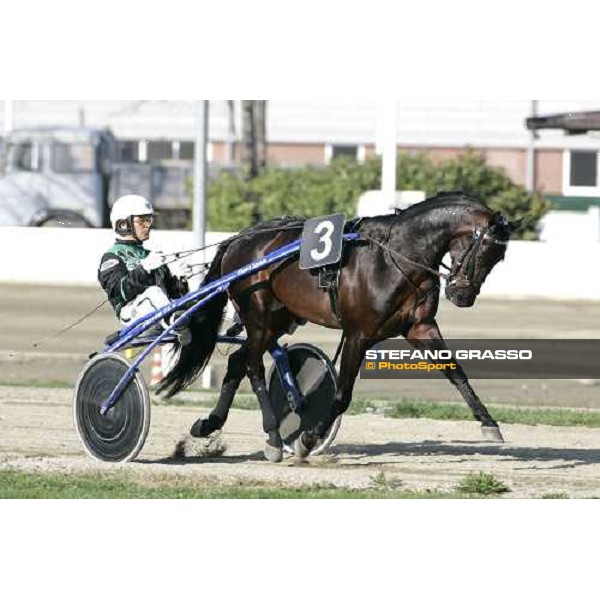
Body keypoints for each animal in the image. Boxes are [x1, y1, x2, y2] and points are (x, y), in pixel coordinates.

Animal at [158, 195, 516, 462]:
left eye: (498, 258)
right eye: (484, 250)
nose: (463, 295)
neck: (395, 256)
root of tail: (240, 239)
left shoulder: (420, 328)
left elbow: (456, 373)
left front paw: (488, 422)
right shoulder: (359, 334)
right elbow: (342, 395)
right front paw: (307, 440)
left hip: (279, 319)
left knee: (236, 363)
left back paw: (209, 424)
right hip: (257, 315)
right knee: (253, 367)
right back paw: (273, 437)